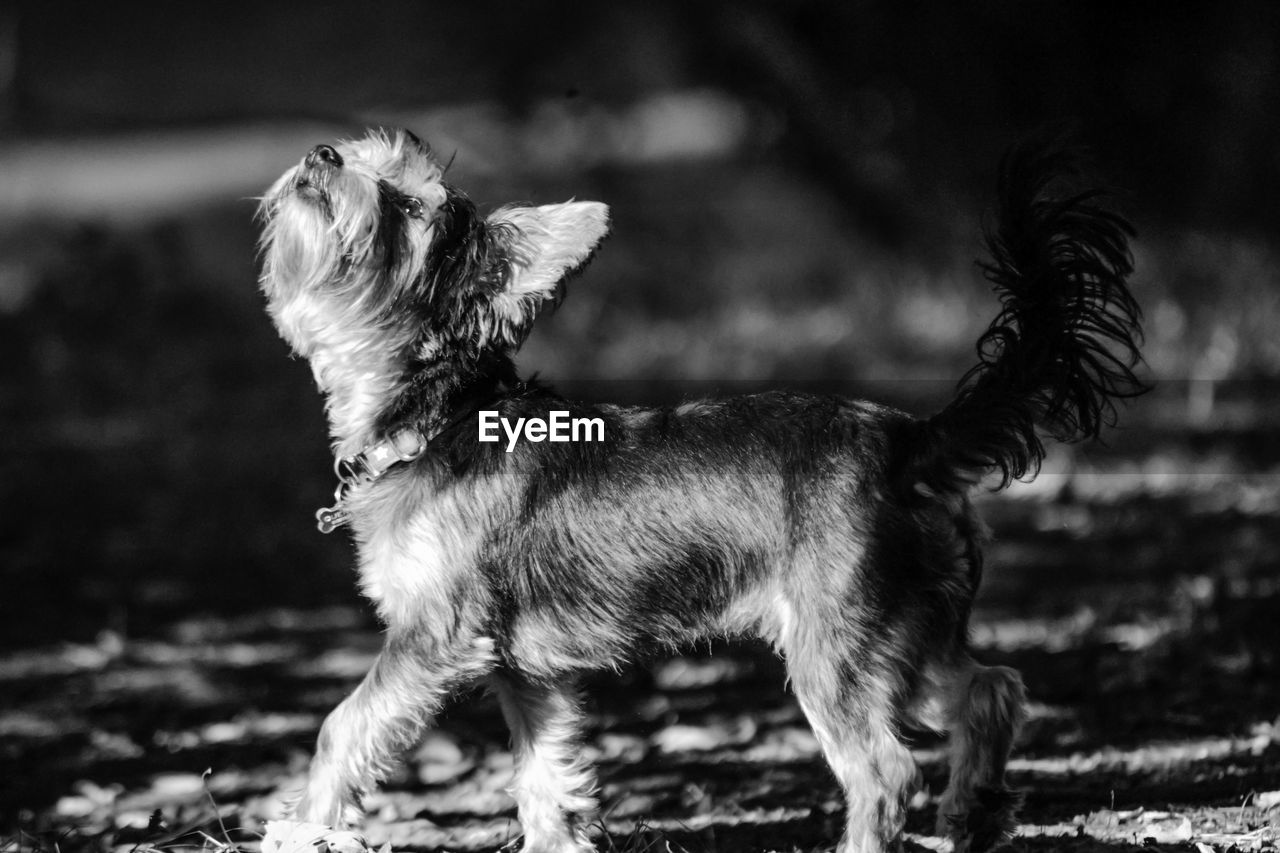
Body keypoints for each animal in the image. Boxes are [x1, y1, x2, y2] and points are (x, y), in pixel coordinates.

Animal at [254, 128, 1146, 850]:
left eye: (404, 205)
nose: (324, 154)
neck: (437, 418)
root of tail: (909, 438)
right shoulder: (528, 673)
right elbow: (547, 781)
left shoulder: (432, 639)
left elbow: (340, 727)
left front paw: (301, 826)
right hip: (910, 627)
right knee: (991, 690)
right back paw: (974, 816)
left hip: (835, 646)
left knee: (885, 771)